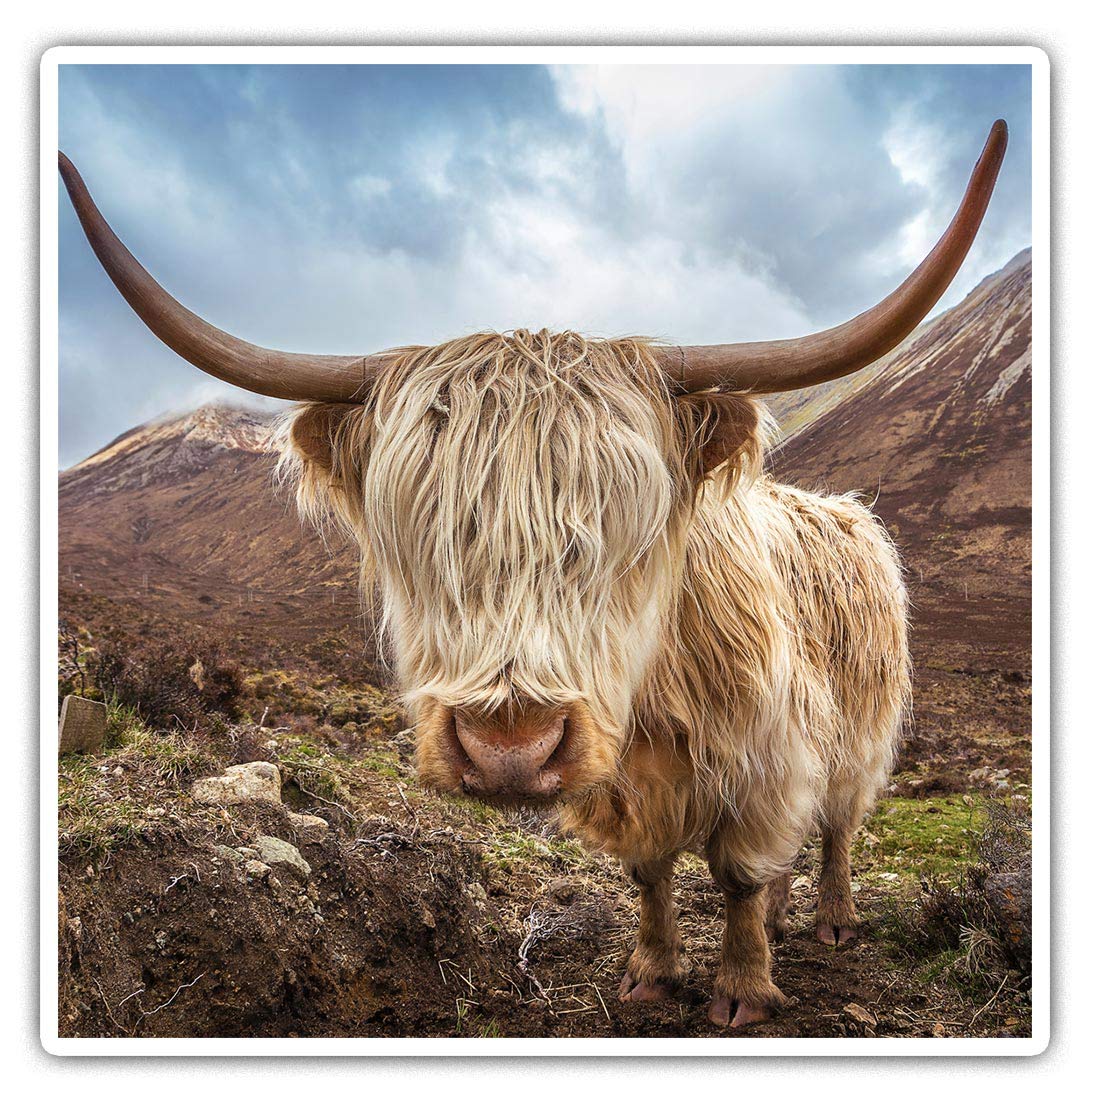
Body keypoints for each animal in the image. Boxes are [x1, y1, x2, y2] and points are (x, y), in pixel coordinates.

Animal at [58, 120, 1007, 1028]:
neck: (653, 710)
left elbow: (738, 873)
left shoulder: (767, 756)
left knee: (840, 823)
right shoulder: (627, 788)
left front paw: (741, 989)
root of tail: (850, 511)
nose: (508, 750)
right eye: (423, 534)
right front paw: (652, 974)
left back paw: (833, 921)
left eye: (626, 535)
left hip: (862, 729)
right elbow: (651, 873)